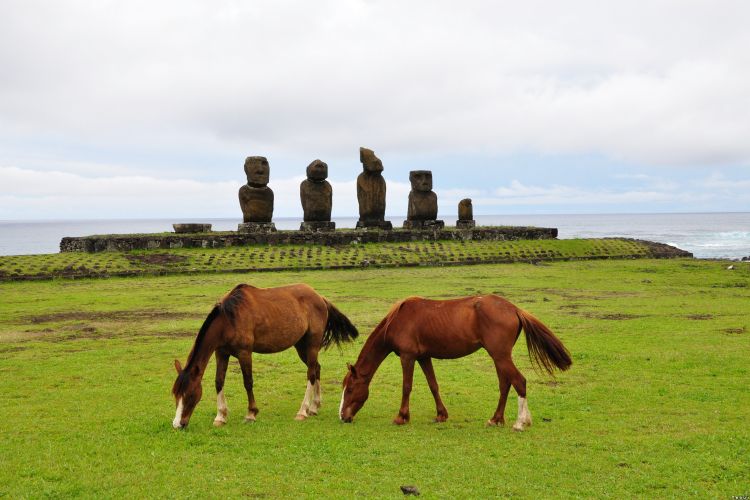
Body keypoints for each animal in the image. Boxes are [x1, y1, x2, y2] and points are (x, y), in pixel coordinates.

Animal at [172, 284, 360, 428]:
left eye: (190, 395)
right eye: (175, 394)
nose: (177, 424)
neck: (229, 319)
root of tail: (320, 297)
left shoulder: (244, 353)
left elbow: (248, 382)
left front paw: (251, 413)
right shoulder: (222, 353)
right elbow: (219, 382)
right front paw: (221, 416)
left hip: (312, 345)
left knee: (311, 374)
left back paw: (303, 411)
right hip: (301, 346)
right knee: (317, 369)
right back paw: (314, 406)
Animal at [338, 292, 572, 430]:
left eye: (350, 389)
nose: (342, 416)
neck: (398, 320)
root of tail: (514, 309)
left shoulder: (408, 357)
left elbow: (407, 386)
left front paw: (401, 417)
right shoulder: (423, 357)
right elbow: (433, 385)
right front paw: (441, 415)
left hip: (501, 356)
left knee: (519, 382)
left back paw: (521, 422)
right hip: (499, 357)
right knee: (505, 385)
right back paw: (496, 419)